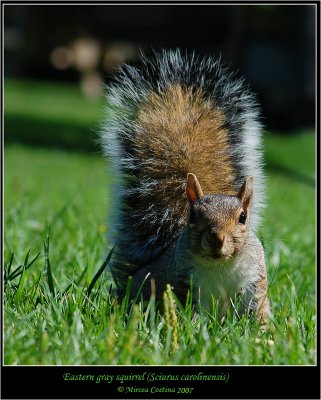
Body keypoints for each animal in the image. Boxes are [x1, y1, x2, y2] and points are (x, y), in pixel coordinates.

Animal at [100, 49, 270, 322]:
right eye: (193, 215)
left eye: (243, 217)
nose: (216, 238)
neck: (220, 264)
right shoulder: (183, 285)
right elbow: (188, 316)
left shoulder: (254, 283)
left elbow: (258, 313)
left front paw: (264, 332)